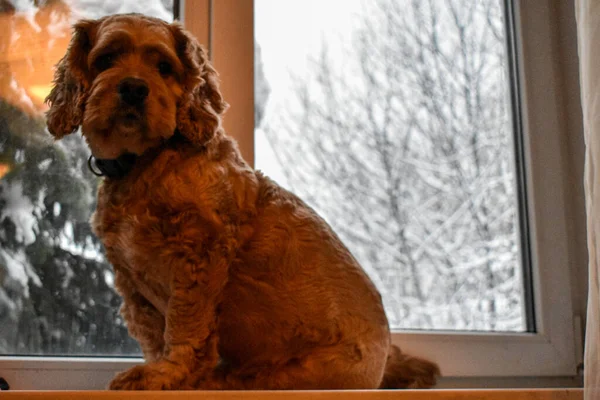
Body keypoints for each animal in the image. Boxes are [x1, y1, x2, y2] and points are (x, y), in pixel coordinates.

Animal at [45, 14, 440, 390]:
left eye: (164, 67)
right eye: (105, 59)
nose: (133, 88)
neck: (146, 162)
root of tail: (386, 360)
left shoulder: (198, 259)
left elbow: (184, 327)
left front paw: (167, 376)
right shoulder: (132, 281)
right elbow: (153, 334)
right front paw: (159, 370)